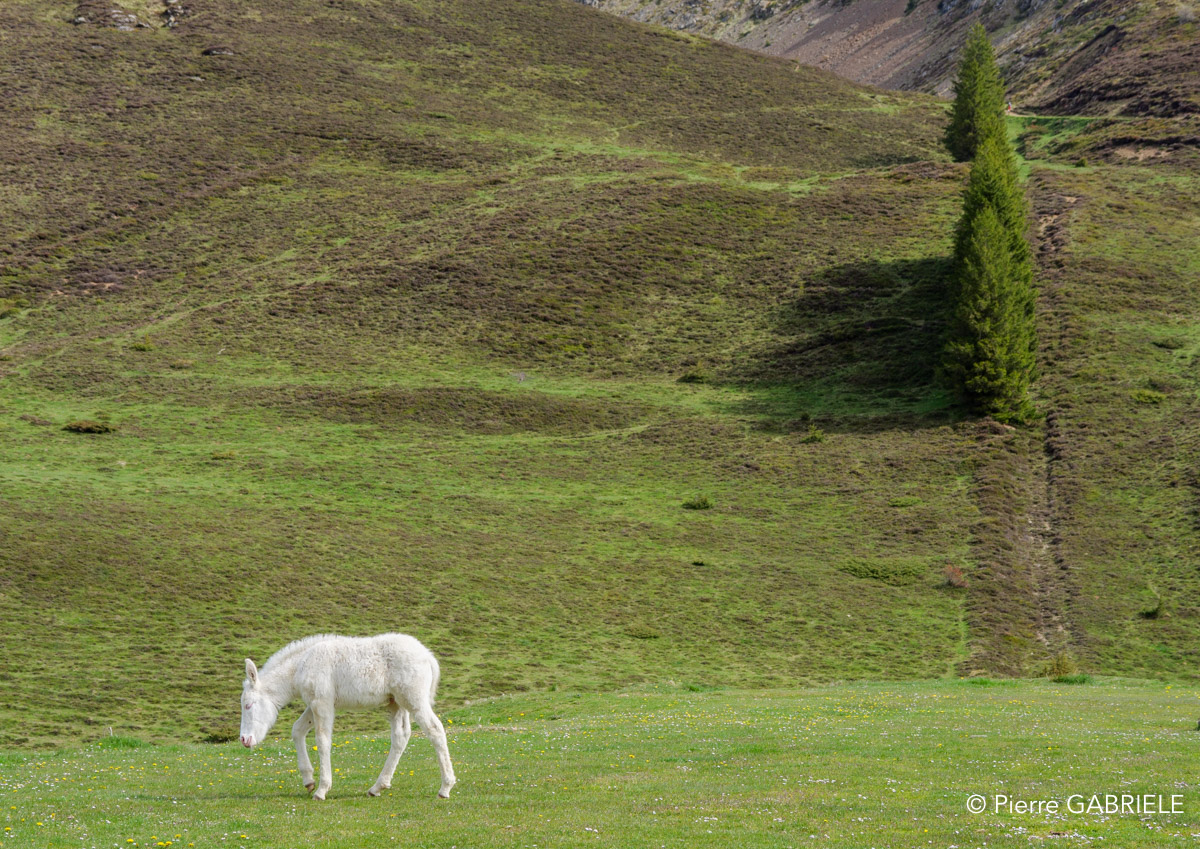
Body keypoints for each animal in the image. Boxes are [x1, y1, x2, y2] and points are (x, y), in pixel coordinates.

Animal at [239, 633, 456, 800]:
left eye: (248, 705)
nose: (244, 739)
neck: (301, 665)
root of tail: (428, 656)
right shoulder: (315, 703)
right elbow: (297, 730)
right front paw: (308, 780)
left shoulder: (322, 703)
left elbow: (322, 740)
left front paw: (322, 789)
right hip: (396, 703)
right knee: (401, 736)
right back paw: (378, 787)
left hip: (414, 699)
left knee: (435, 730)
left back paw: (445, 787)